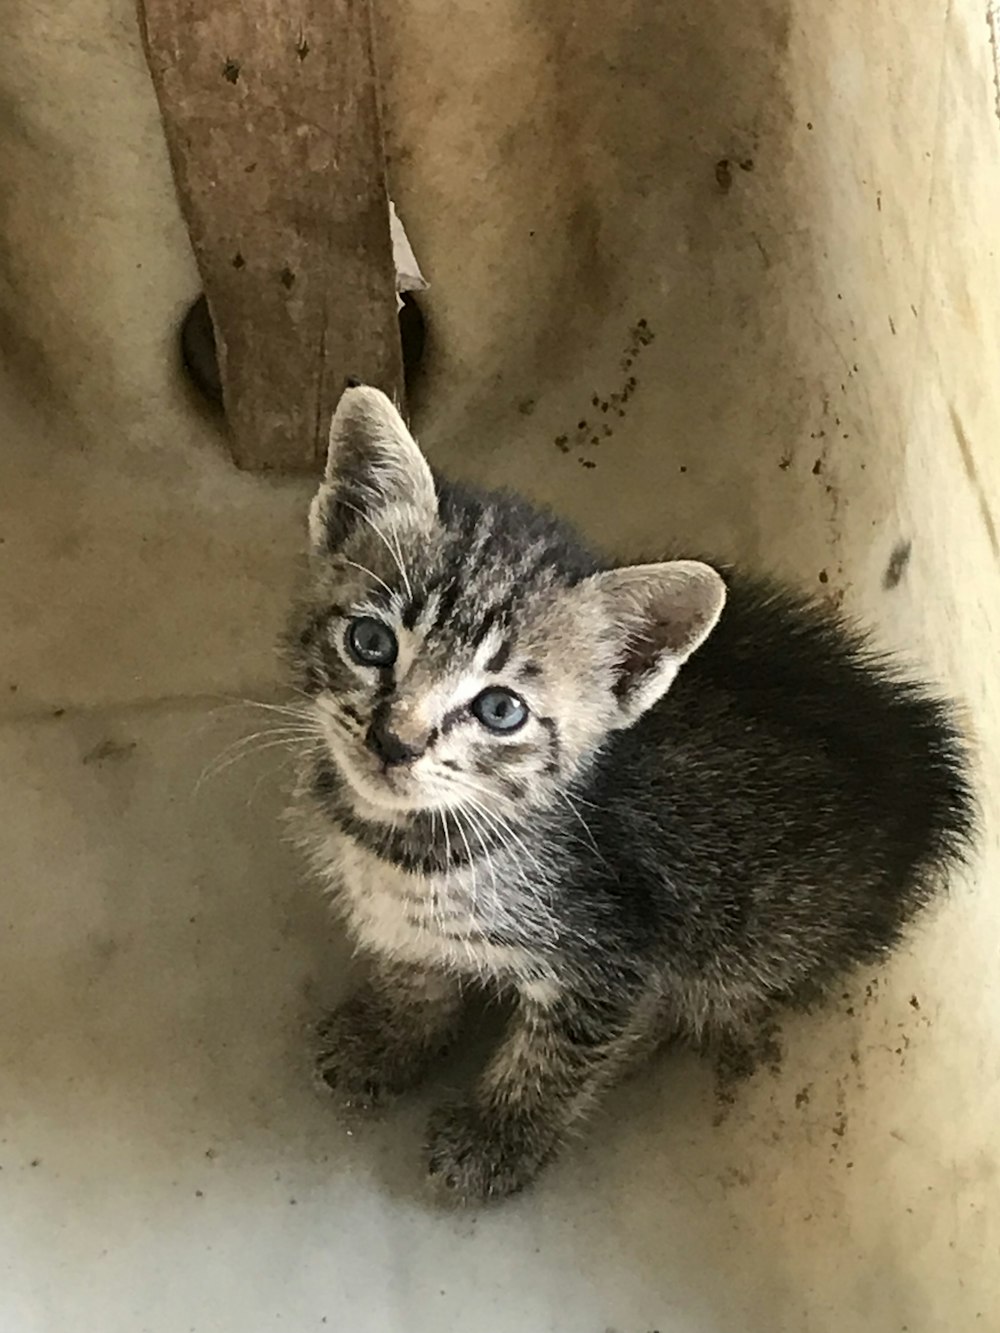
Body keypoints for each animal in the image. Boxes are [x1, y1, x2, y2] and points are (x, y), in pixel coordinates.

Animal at [289, 383, 981, 1199]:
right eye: (370, 643)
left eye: (501, 709)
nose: (393, 741)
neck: (406, 844)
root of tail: (919, 756)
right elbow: (414, 964)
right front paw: (391, 1034)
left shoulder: (617, 955)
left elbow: (559, 1055)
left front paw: (498, 1136)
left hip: (743, 930)